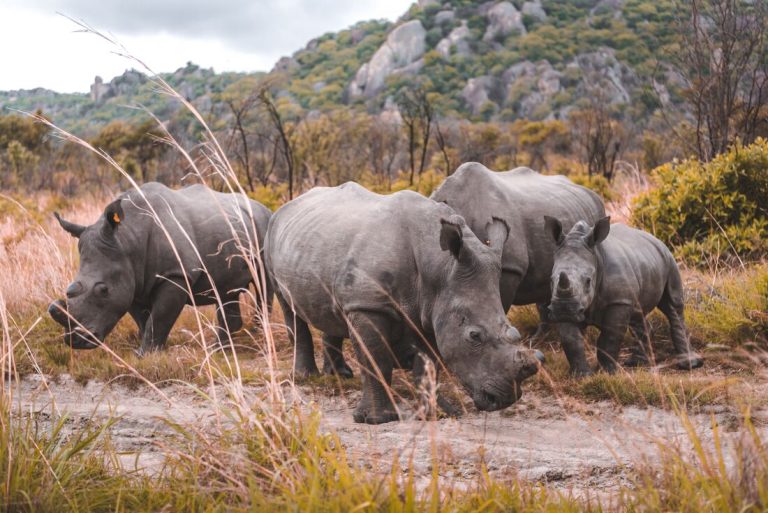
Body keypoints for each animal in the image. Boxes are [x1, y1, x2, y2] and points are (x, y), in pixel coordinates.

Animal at [48, 182, 272, 353]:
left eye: (103, 290)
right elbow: (144, 320)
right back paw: (218, 350)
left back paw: (258, 335)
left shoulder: (176, 275)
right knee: (225, 289)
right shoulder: (132, 281)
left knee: (264, 286)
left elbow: (159, 317)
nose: (77, 341)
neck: (127, 239)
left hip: (264, 225)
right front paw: (152, 352)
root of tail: (262, 206)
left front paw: (145, 354)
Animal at [265, 182, 542, 424]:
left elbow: (429, 364)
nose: (504, 399)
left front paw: (437, 414)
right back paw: (304, 377)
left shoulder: (431, 310)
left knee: (333, 309)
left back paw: (340, 376)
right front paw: (377, 420)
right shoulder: (369, 305)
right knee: (289, 307)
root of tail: (287, 205)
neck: (439, 267)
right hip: (271, 238)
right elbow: (375, 360)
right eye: (474, 336)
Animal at [544, 216, 704, 375]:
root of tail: (655, 238)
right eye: (551, 279)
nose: (564, 308)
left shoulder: (619, 301)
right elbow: (571, 340)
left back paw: (690, 365)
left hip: (669, 259)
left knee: (672, 306)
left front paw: (608, 373)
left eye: (588, 281)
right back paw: (637, 362)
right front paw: (582, 375)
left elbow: (609, 337)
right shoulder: (563, 305)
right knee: (637, 314)